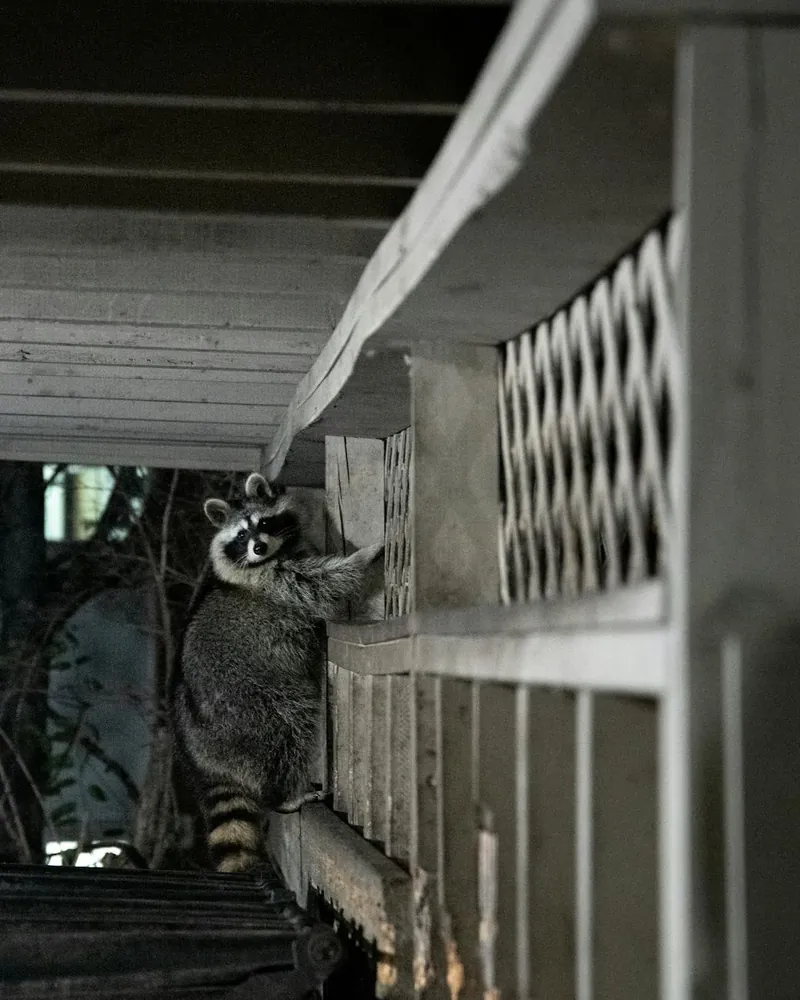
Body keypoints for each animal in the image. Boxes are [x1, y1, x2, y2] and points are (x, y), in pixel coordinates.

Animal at [172, 472, 383, 873]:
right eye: (241, 535)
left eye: (264, 524)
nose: (258, 547)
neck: (274, 555)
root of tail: (204, 757)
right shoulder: (278, 581)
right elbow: (322, 584)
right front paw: (363, 557)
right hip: (252, 706)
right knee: (288, 729)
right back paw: (284, 794)